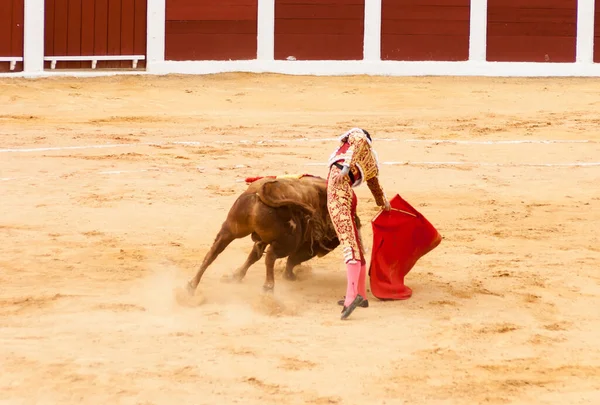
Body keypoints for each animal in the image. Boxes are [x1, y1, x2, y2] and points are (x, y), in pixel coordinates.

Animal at [185, 174, 360, 294]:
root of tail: (264, 191)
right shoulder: (305, 245)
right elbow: (293, 259)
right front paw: (289, 276)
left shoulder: (261, 240)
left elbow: (253, 256)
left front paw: (236, 276)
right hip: (289, 241)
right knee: (271, 256)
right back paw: (269, 286)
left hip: (230, 229)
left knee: (213, 253)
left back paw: (192, 284)